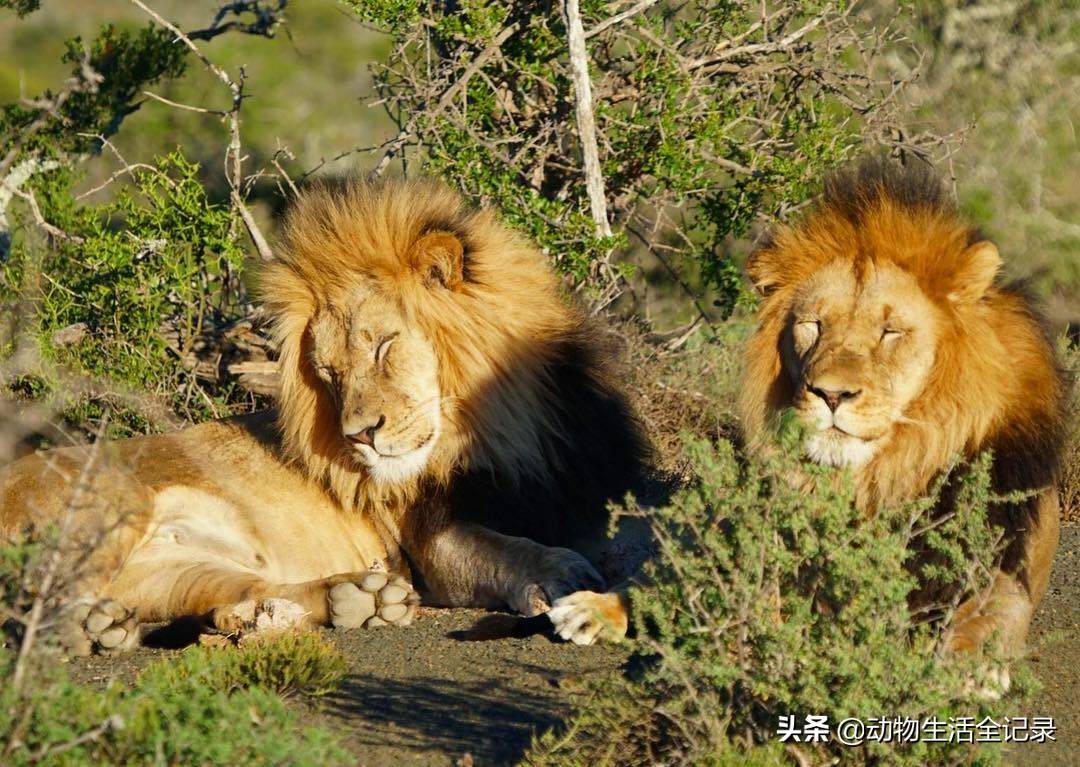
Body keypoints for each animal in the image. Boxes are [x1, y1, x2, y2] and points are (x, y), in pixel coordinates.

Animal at [0, 180, 643, 656]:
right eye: (330, 373)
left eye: (384, 346)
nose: (360, 435)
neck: (504, 430)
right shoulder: (429, 543)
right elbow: (505, 550)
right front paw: (560, 573)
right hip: (108, 506)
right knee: (36, 612)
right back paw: (85, 634)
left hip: (177, 572)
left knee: (240, 601)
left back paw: (357, 601)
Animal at [544, 157, 1067, 665]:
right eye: (814, 325)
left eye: (890, 332)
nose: (831, 394)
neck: (870, 480)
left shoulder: (1004, 559)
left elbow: (993, 609)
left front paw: (968, 664)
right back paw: (591, 608)